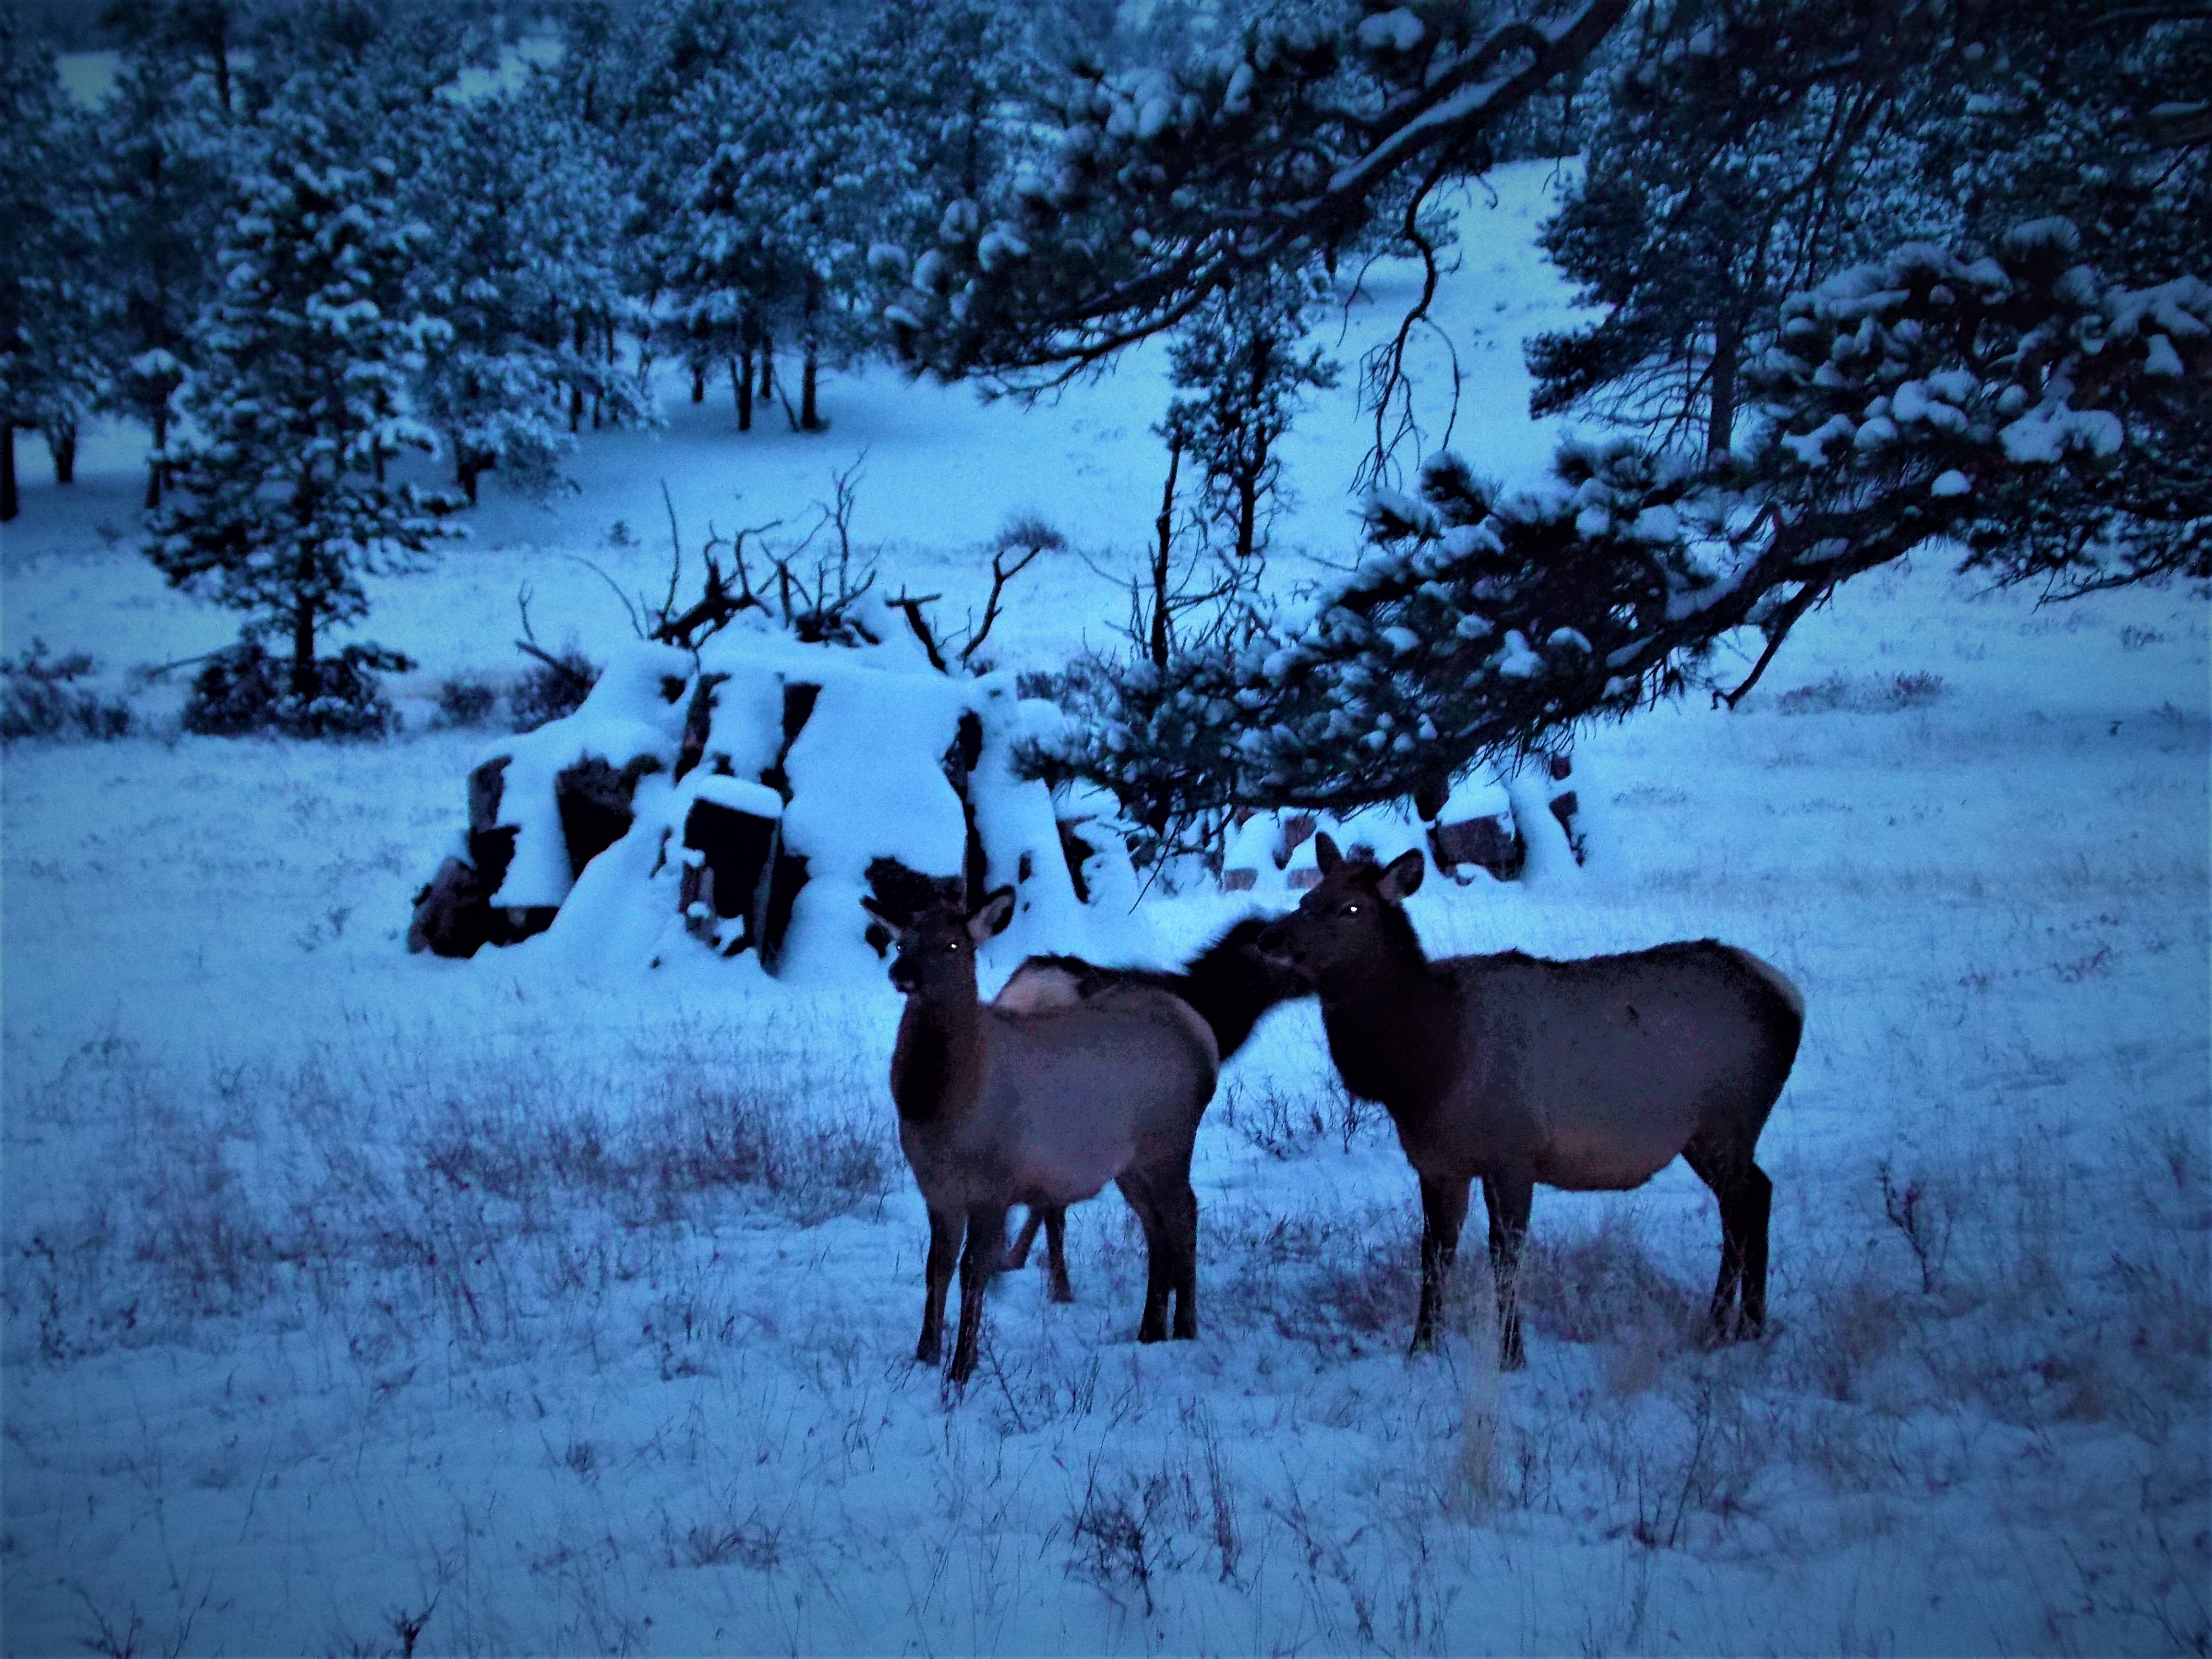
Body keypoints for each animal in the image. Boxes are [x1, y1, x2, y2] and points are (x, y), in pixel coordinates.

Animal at [863, 898, 1221, 1389]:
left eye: (954, 944)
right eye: (902, 942)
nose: (902, 973)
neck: (940, 1110)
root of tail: (1204, 1037)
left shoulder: (994, 1184)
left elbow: (973, 1269)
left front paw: (962, 1366)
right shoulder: (937, 1189)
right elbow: (937, 1266)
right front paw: (925, 1355)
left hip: (1169, 1142)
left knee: (1185, 1217)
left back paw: (1185, 1329)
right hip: (1130, 1163)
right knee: (1157, 1228)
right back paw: (1149, 1331)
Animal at [1265, 836, 1796, 1371]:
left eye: (1351, 909)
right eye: (1306, 899)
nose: (1269, 939)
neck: (1425, 1072)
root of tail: (1790, 998)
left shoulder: (1513, 1155)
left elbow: (1505, 1258)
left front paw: (1512, 1355)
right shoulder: (1439, 1164)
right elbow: (1434, 1256)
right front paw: (1421, 1349)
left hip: (1728, 1119)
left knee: (1741, 1209)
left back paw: (1725, 1325)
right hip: (1709, 1135)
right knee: (1758, 1195)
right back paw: (1744, 1326)